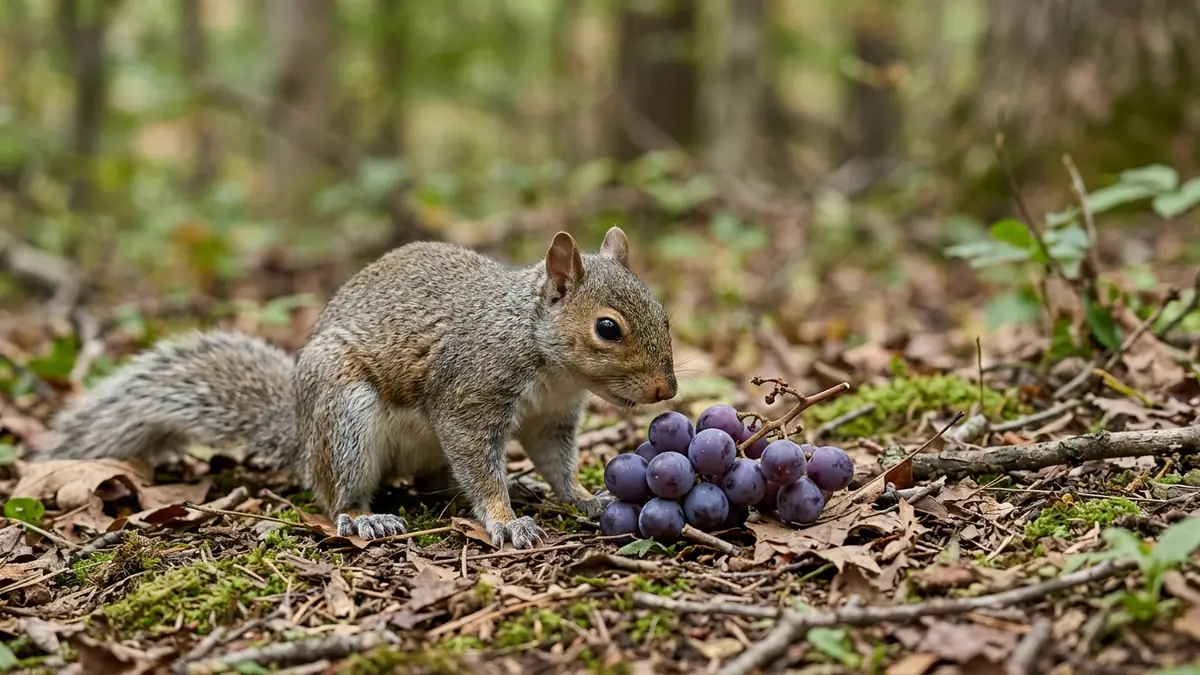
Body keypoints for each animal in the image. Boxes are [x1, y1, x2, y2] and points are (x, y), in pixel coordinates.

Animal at [32, 227, 677, 549]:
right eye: (607, 328)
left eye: (664, 314)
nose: (666, 390)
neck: (547, 359)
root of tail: (301, 438)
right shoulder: (471, 394)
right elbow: (477, 460)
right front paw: (503, 519)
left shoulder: (552, 419)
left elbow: (556, 464)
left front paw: (582, 496)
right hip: (344, 417)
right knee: (337, 494)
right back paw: (365, 519)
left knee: (436, 482)